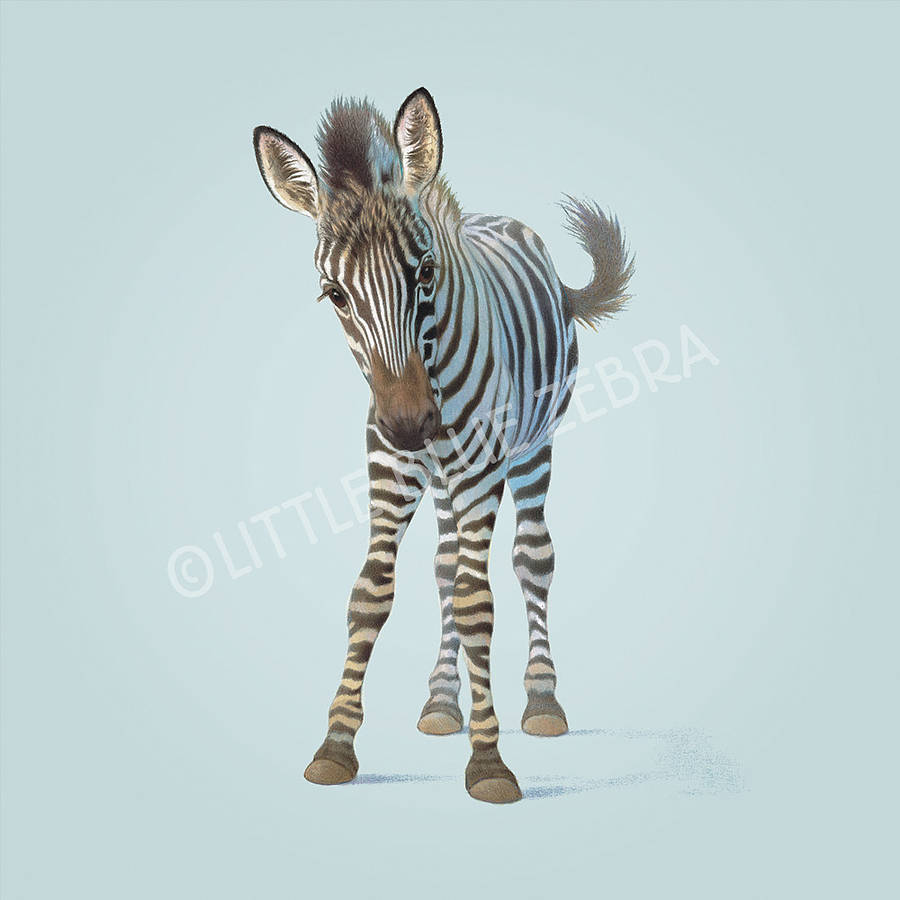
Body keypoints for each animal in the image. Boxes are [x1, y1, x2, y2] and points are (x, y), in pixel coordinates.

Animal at [252, 88, 633, 803]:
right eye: (334, 294)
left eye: (425, 271)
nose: (410, 423)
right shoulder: (390, 468)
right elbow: (372, 593)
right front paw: (336, 744)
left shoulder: (482, 470)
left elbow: (477, 600)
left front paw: (488, 762)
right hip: (443, 479)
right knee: (445, 563)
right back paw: (439, 702)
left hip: (531, 450)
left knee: (530, 559)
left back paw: (542, 700)